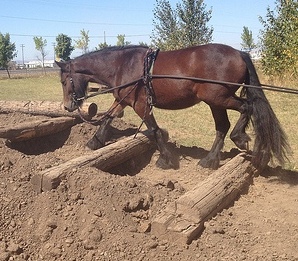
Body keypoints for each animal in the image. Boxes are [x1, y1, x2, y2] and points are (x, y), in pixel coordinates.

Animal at [55, 43, 288, 169]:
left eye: (64, 81)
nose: (67, 106)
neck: (123, 66)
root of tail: (239, 52)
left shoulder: (141, 105)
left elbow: (155, 131)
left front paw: (166, 159)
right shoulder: (124, 100)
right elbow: (108, 117)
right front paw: (94, 142)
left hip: (218, 98)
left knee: (247, 108)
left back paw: (240, 138)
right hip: (216, 102)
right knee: (223, 126)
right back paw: (211, 160)